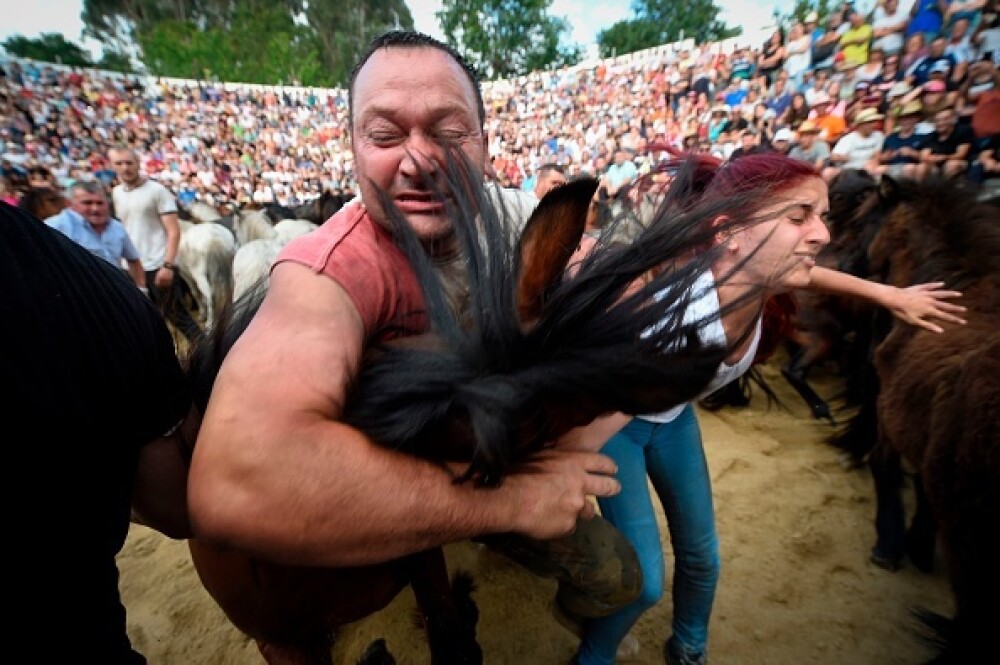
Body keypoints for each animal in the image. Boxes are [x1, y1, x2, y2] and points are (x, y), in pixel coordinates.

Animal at [864, 174, 996, 660]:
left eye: (871, 218)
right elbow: (918, 481)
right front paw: (915, 543)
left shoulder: (889, 406)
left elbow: (885, 465)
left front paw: (891, 544)